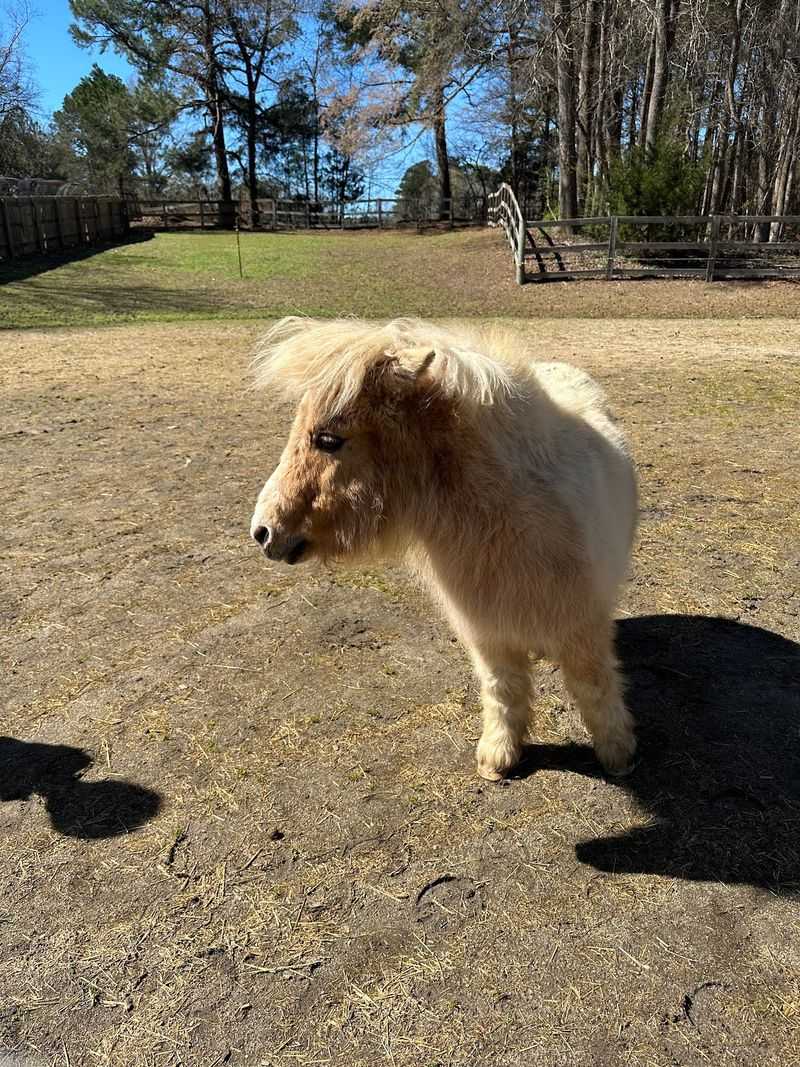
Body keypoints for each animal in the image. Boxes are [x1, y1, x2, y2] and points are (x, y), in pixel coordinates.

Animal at [250, 317, 638, 782]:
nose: (263, 532)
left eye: (328, 439)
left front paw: (618, 754)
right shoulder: (487, 629)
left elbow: (593, 684)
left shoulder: (581, 625)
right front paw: (498, 757)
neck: (511, 510)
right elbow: (502, 688)